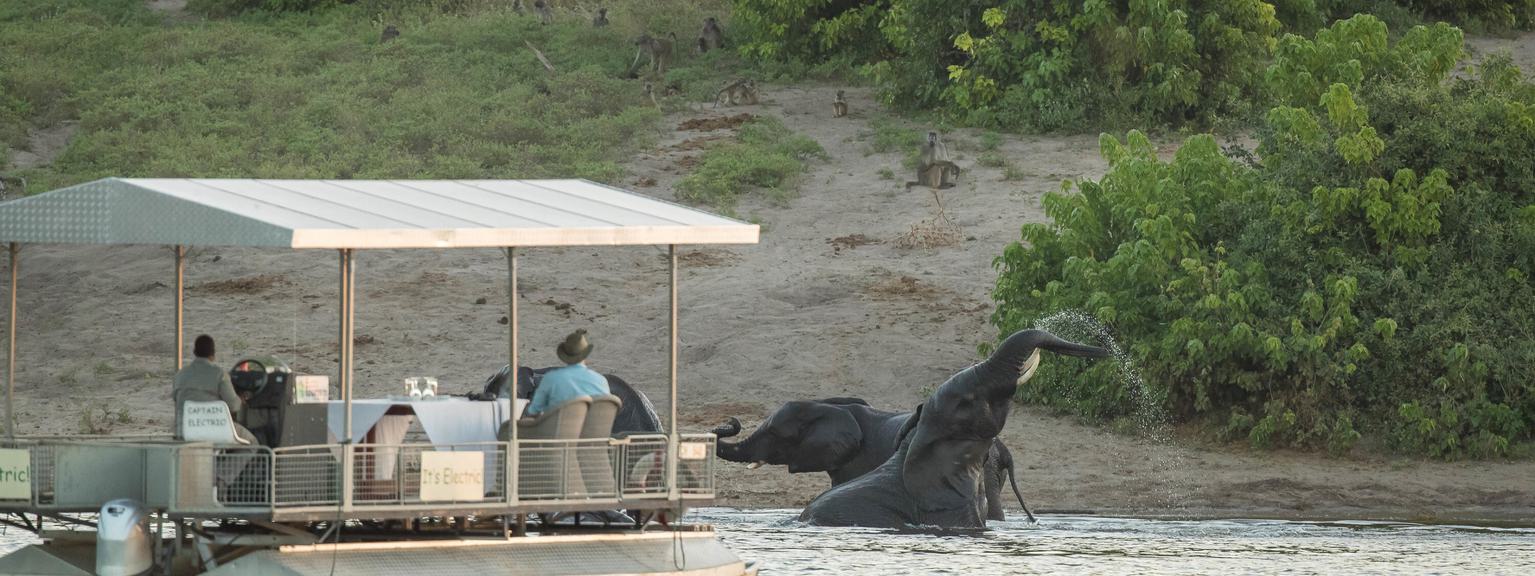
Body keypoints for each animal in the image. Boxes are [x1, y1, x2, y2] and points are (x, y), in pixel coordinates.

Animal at [712, 398, 1034, 522]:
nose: (732, 421)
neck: (827, 406)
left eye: (776, 434)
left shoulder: (855, 459)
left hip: (986, 466)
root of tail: (1005, 452)